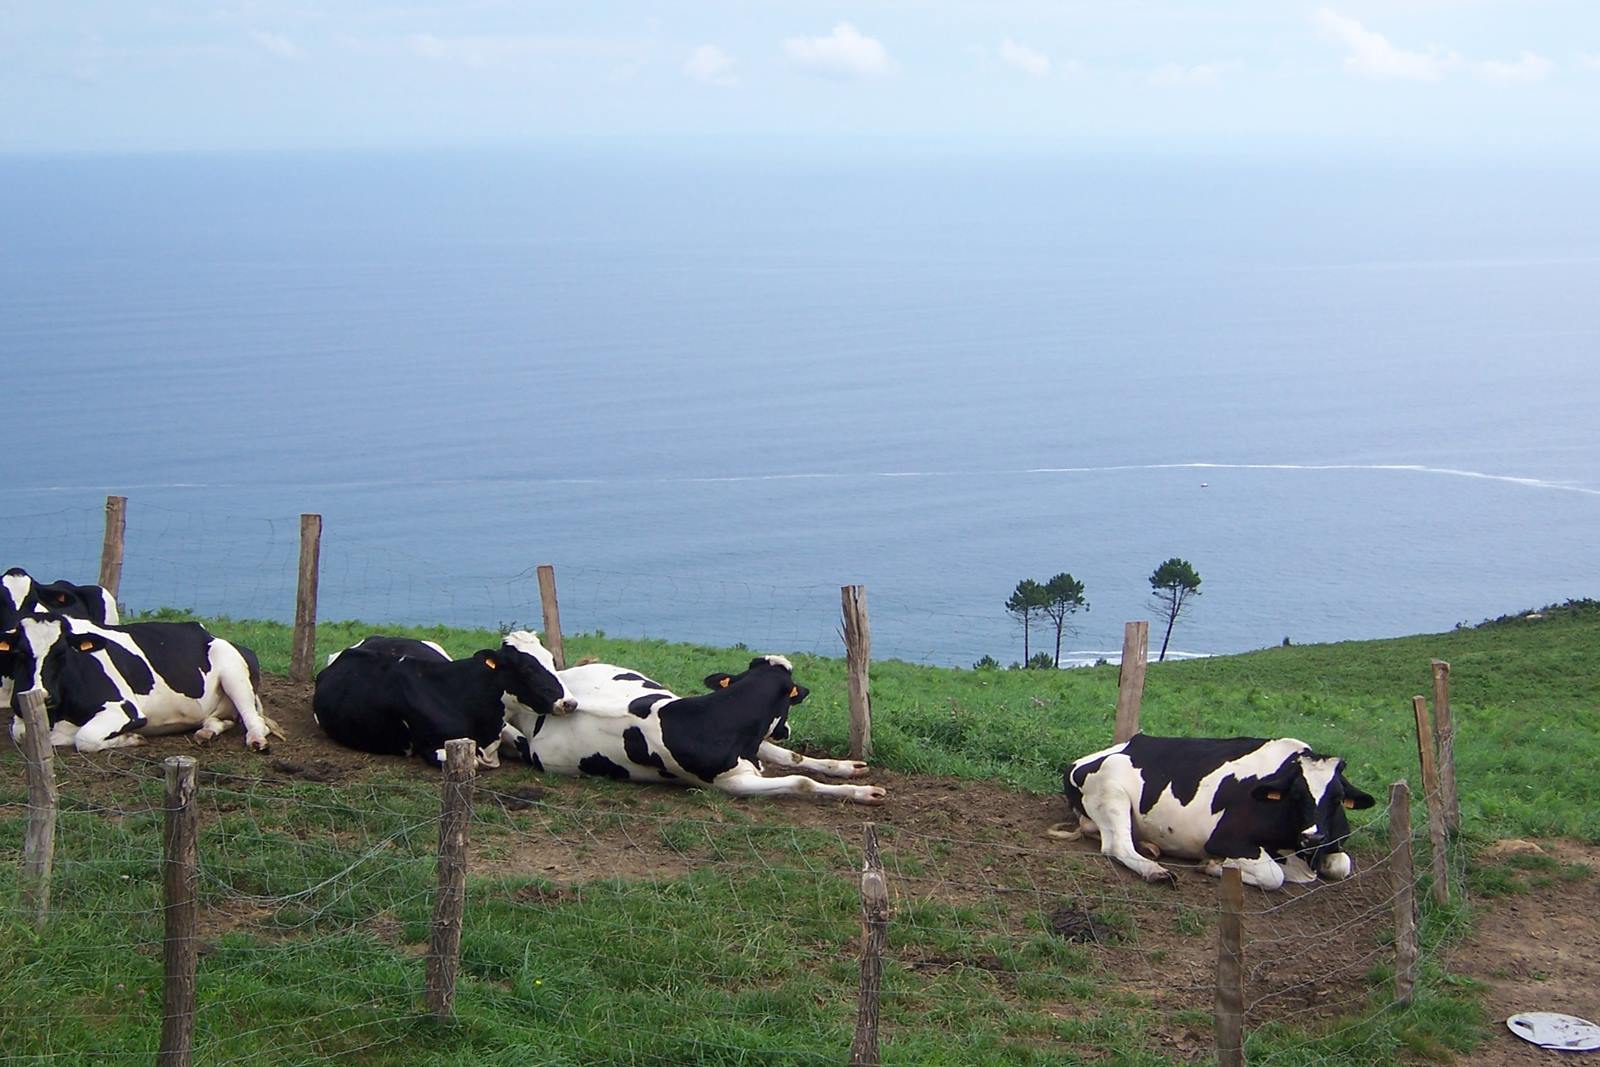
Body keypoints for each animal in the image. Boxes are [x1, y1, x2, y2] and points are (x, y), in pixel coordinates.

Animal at [315, 630, 579, 771]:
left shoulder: (501, 726)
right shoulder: (430, 747)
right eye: (527, 668)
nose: (569, 703)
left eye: (551, 660)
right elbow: (473, 763)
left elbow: (524, 744)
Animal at [502, 655, 889, 806]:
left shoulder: (753, 750)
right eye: (791, 700)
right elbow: (801, 782)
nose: (787, 729)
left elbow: (791, 758)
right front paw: (863, 792)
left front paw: (846, 767)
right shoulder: (732, 784)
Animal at [1062, 735, 1376, 895]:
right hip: (1112, 789)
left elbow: (1342, 864)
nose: (1314, 836)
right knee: (1117, 845)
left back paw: (1150, 848)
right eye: (1297, 795)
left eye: (1337, 798)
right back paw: (1156, 871)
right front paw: (1214, 866)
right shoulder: (1226, 838)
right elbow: (1273, 875)